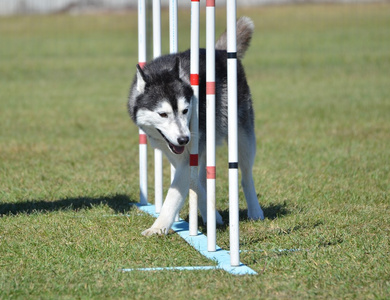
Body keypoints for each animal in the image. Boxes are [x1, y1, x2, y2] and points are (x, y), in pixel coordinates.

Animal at [128, 17, 266, 237]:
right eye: (163, 114)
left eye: (185, 110)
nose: (184, 139)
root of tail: (220, 51)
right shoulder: (174, 151)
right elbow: (193, 180)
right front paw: (211, 213)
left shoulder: (190, 150)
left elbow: (177, 191)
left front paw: (158, 227)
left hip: (242, 135)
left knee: (245, 175)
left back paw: (255, 210)